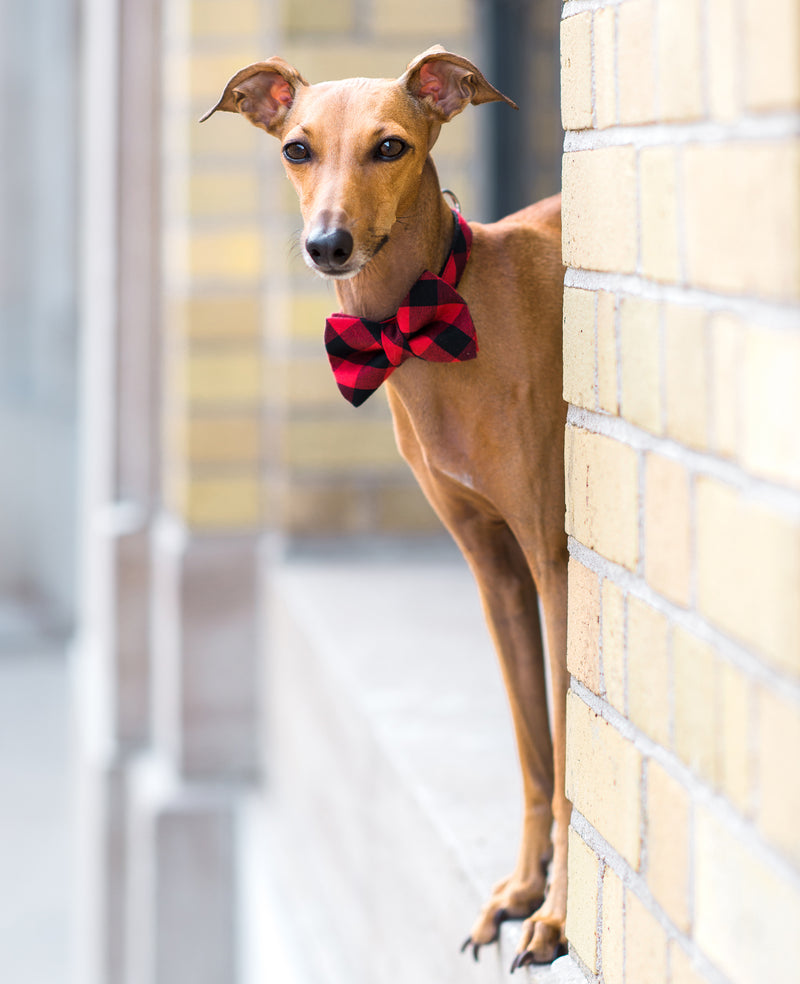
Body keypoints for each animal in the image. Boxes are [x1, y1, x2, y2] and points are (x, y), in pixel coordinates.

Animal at [205, 44, 568, 968]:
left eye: (391, 147)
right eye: (297, 148)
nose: (328, 244)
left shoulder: (555, 565)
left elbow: (574, 748)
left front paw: (559, 916)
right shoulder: (495, 570)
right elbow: (535, 749)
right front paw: (524, 888)